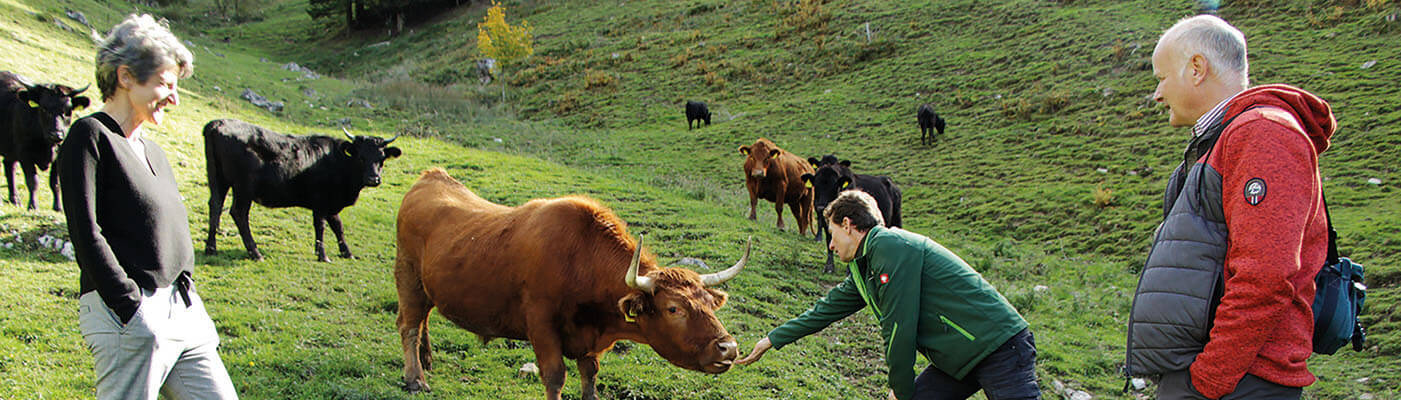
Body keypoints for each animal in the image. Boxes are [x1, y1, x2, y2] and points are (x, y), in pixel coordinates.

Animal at [0, 70, 88, 211]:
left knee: (9, 166)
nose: (56, 135)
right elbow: (32, 181)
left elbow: (55, 183)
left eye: (68, 111)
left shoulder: (58, 157)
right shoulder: (25, 154)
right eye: (44, 108)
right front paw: (33, 206)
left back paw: (15, 199)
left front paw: (58, 207)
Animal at [200, 118, 403, 262]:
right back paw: (255, 252)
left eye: (381, 158)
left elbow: (338, 226)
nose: (373, 179)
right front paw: (323, 255)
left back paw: (211, 248)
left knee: (215, 205)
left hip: (218, 179)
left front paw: (347, 252)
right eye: (361, 157)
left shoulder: (331, 203)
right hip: (243, 188)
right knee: (238, 213)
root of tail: (217, 124)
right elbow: (321, 226)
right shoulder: (321, 201)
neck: (337, 161)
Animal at [389, 167, 750, 397]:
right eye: (674, 308)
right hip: (407, 276)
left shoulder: (589, 344)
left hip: (429, 287)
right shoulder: (541, 325)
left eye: (710, 302)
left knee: (421, 320)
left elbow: (589, 377)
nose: (729, 348)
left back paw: (426, 361)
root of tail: (431, 176)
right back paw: (415, 378)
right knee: (408, 324)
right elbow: (554, 377)